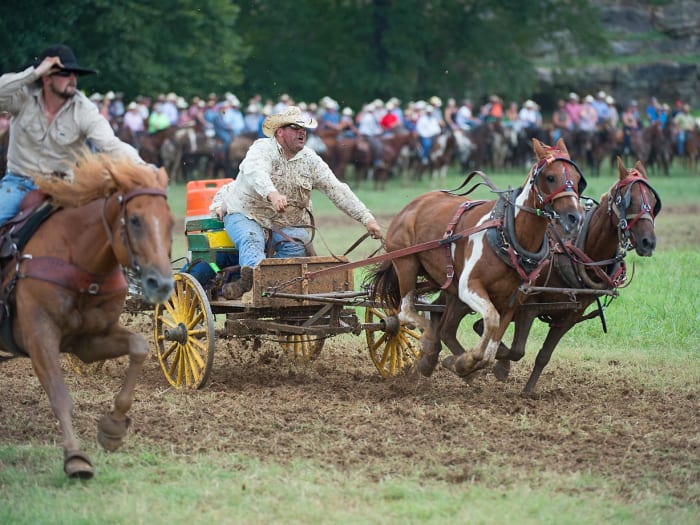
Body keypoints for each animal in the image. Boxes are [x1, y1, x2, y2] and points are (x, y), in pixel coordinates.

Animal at [0, 152, 174, 478]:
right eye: (134, 220)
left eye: (171, 222)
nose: (162, 284)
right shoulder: (38, 337)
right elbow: (59, 395)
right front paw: (75, 458)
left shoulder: (88, 342)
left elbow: (139, 347)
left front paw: (113, 428)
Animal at [366, 137, 584, 378]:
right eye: (550, 177)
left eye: (577, 179)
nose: (575, 217)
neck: (507, 234)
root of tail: (414, 204)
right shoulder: (469, 287)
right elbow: (491, 319)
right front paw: (465, 361)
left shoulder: (512, 300)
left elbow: (491, 347)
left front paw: (463, 363)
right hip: (407, 263)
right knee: (406, 311)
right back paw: (429, 341)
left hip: (447, 286)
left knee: (445, 327)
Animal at [484, 158, 660, 390]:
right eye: (627, 200)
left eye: (653, 200)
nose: (648, 242)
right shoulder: (528, 306)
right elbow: (516, 350)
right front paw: (499, 366)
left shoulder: (570, 316)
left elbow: (543, 355)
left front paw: (528, 391)